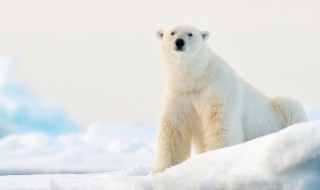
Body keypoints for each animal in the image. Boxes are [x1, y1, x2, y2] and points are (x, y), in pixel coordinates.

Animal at [154, 24, 308, 172]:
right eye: (172, 32)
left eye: (190, 34)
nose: (179, 42)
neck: (196, 78)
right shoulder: (179, 94)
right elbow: (173, 129)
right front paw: (162, 168)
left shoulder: (219, 88)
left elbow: (221, 123)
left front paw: (215, 156)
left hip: (280, 111)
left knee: (290, 107)